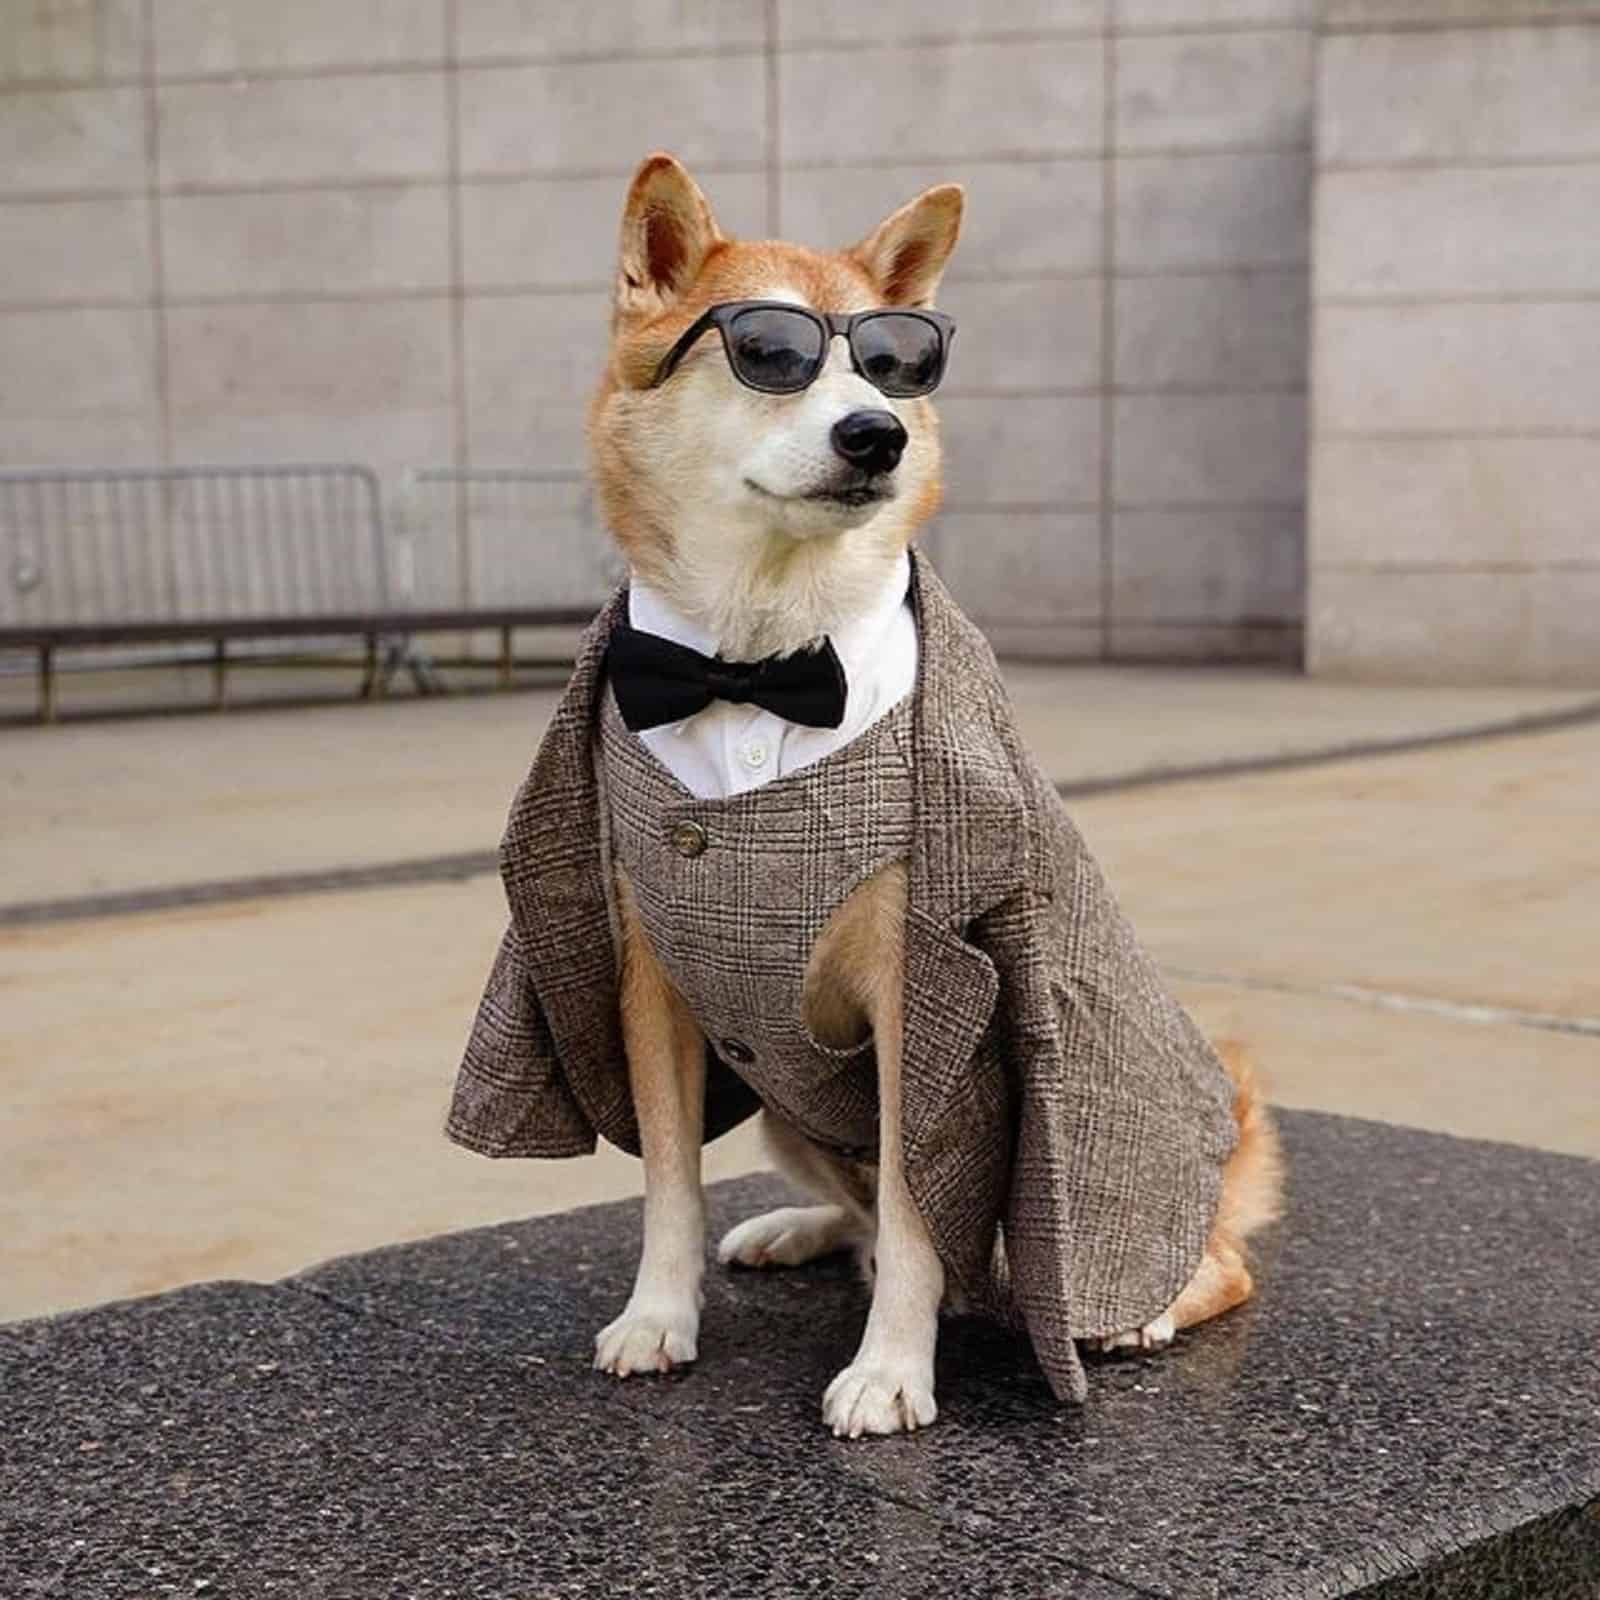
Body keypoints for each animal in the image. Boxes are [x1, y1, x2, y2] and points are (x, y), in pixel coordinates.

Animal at [457, 152, 1280, 1440]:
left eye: (895, 362)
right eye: (767, 351)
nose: (875, 433)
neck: (757, 657)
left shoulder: (925, 1003)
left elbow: (913, 1200)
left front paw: (890, 1370)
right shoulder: (646, 971)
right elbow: (670, 1180)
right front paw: (659, 1316)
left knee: (1195, 1260)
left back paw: (1135, 1308)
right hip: (783, 1102)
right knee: (848, 1221)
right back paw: (797, 1228)